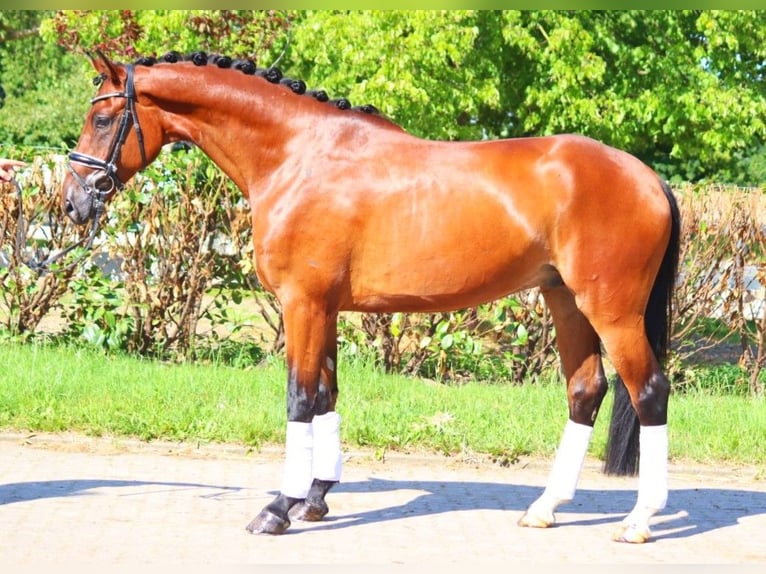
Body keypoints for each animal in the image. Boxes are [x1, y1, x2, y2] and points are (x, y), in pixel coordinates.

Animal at [63, 51, 680, 548]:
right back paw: (546, 507)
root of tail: (646, 176)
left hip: (611, 311)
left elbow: (299, 397)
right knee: (585, 390)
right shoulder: (326, 308)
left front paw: (278, 508)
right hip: (566, 301)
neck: (297, 156)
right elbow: (326, 393)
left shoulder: (302, 303)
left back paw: (639, 519)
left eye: (102, 119)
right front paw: (314, 498)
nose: (73, 202)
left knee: (648, 391)